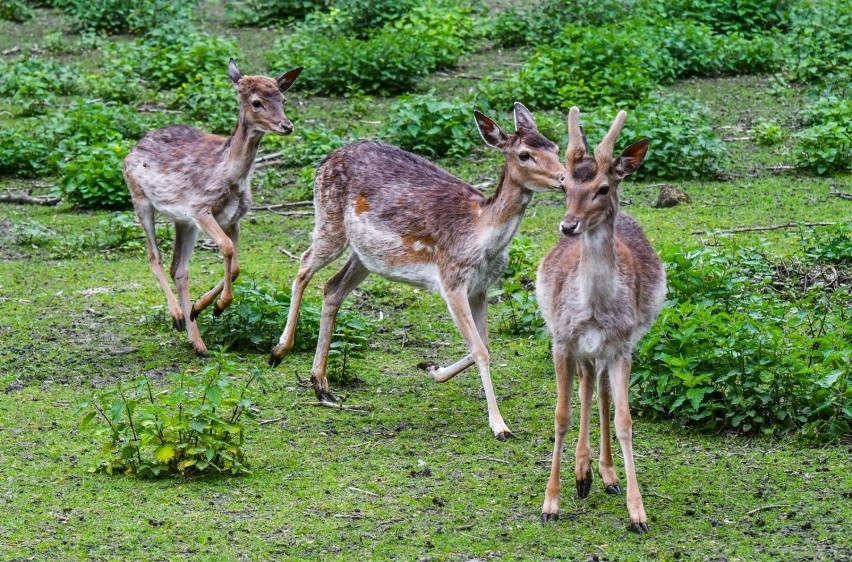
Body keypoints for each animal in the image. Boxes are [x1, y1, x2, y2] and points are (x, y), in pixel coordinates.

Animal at [123, 58, 302, 354]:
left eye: (283, 99)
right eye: (256, 102)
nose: (286, 126)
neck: (230, 176)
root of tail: (133, 148)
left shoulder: (234, 218)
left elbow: (237, 266)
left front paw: (205, 305)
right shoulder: (200, 208)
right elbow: (227, 249)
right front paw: (218, 305)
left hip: (183, 222)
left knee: (179, 269)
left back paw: (197, 341)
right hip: (140, 199)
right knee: (154, 256)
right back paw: (177, 317)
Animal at [270, 104, 568, 438]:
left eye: (555, 147)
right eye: (525, 154)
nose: (564, 178)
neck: (481, 235)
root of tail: (324, 161)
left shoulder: (481, 288)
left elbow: (484, 345)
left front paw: (431, 368)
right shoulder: (451, 280)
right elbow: (480, 349)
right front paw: (500, 426)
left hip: (366, 256)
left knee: (332, 288)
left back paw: (321, 386)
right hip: (329, 222)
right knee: (304, 264)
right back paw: (279, 351)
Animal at [540, 108, 664, 528]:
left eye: (604, 188)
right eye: (564, 185)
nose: (569, 225)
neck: (594, 311)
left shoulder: (622, 346)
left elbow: (625, 420)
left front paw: (638, 512)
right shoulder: (561, 341)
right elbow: (561, 415)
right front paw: (550, 503)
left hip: (609, 350)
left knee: (602, 393)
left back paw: (604, 475)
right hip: (583, 350)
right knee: (587, 385)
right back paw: (583, 475)